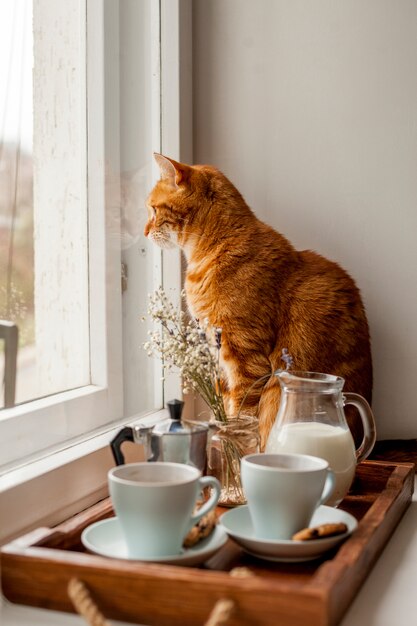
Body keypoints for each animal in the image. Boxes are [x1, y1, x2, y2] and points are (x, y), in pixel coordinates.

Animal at [145, 154, 372, 446]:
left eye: (153, 210)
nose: (144, 232)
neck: (215, 247)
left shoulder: (245, 357)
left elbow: (242, 415)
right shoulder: (222, 359)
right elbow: (226, 405)